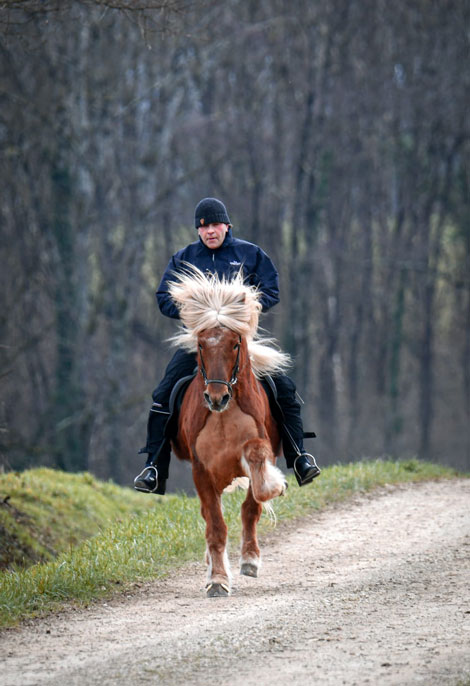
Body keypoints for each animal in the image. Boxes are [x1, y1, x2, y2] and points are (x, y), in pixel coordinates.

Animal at [167, 266, 292, 600]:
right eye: (200, 344)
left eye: (235, 343)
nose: (216, 398)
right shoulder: (201, 469)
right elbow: (215, 525)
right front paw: (218, 580)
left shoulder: (258, 447)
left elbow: (255, 500)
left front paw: (249, 560)